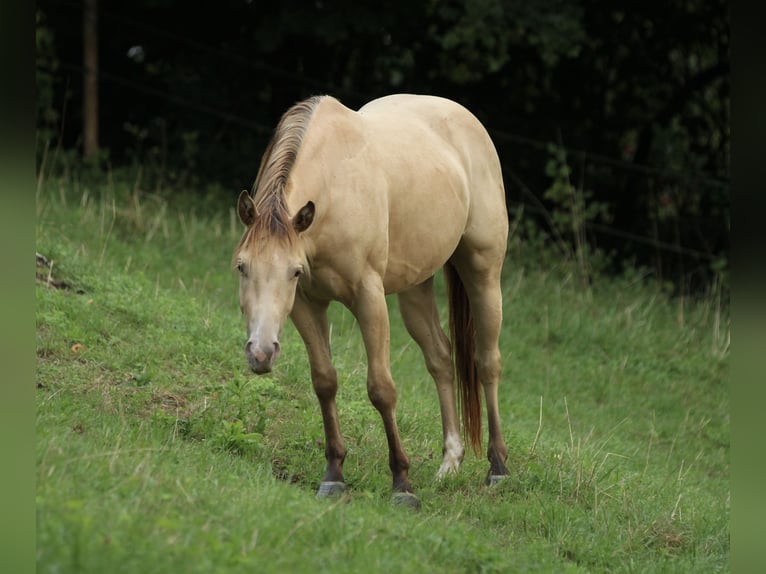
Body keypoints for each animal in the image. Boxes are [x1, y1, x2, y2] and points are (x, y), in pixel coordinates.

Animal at [233, 94, 509, 508]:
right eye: (241, 267)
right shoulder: (306, 305)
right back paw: (450, 463)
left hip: (483, 273)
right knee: (440, 359)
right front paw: (333, 476)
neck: (335, 186)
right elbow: (324, 381)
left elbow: (381, 389)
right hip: (415, 288)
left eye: (293, 272)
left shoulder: (369, 298)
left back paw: (498, 468)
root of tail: (465, 118)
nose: (261, 353)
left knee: (486, 363)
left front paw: (402, 484)